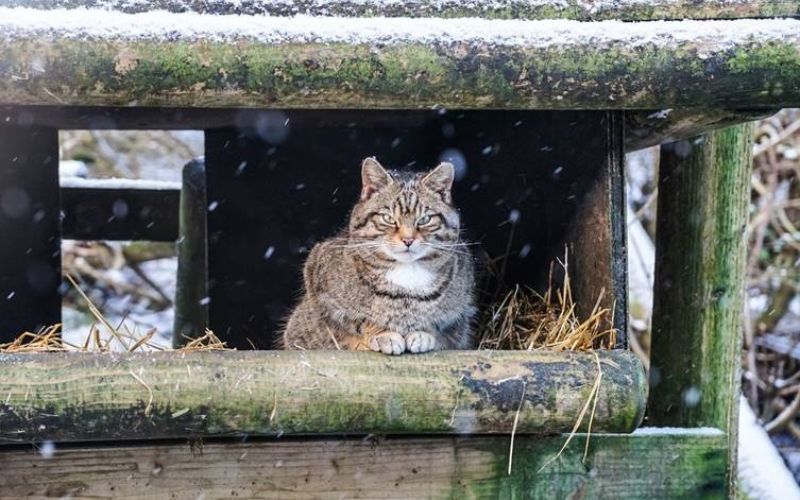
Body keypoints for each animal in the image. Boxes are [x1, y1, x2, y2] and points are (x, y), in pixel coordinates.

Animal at [282, 158, 476, 354]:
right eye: (388, 218)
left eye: (424, 220)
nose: (408, 240)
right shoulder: (317, 277)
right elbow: (357, 320)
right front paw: (383, 334)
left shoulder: (459, 308)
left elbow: (439, 323)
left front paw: (423, 333)